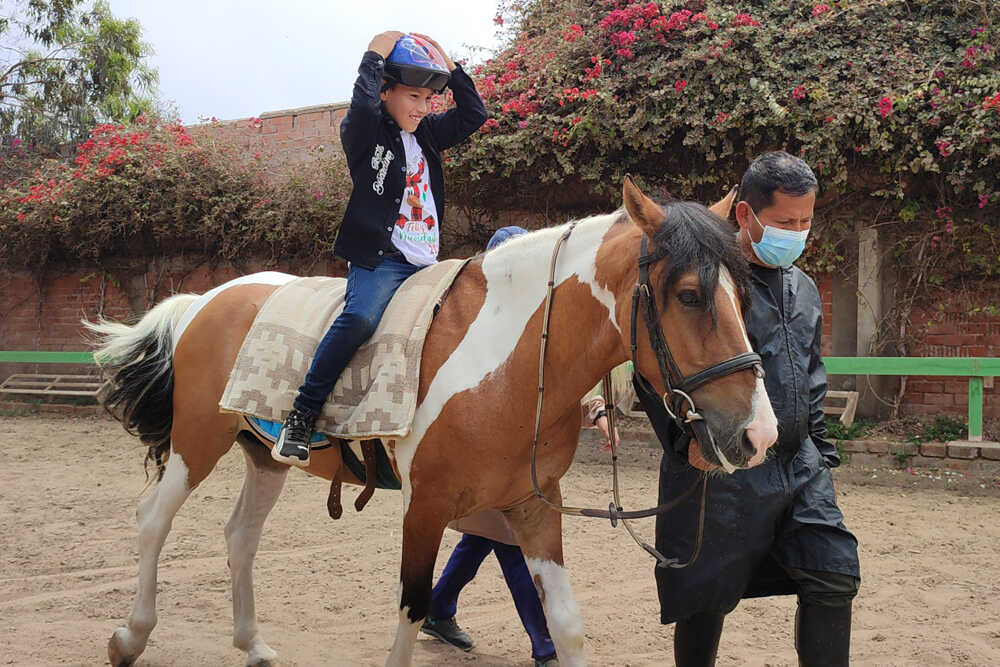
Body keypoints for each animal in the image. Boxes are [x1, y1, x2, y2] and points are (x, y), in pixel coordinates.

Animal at [88, 178, 777, 667]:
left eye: (743, 297)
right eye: (689, 295)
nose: (759, 434)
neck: (506, 359)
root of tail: (208, 299)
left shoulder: (533, 506)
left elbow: (567, 625)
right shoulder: (424, 508)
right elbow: (411, 612)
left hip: (263, 456)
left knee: (240, 537)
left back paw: (252, 644)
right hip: (197, 441)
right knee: (153, 520)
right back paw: (130, 638)